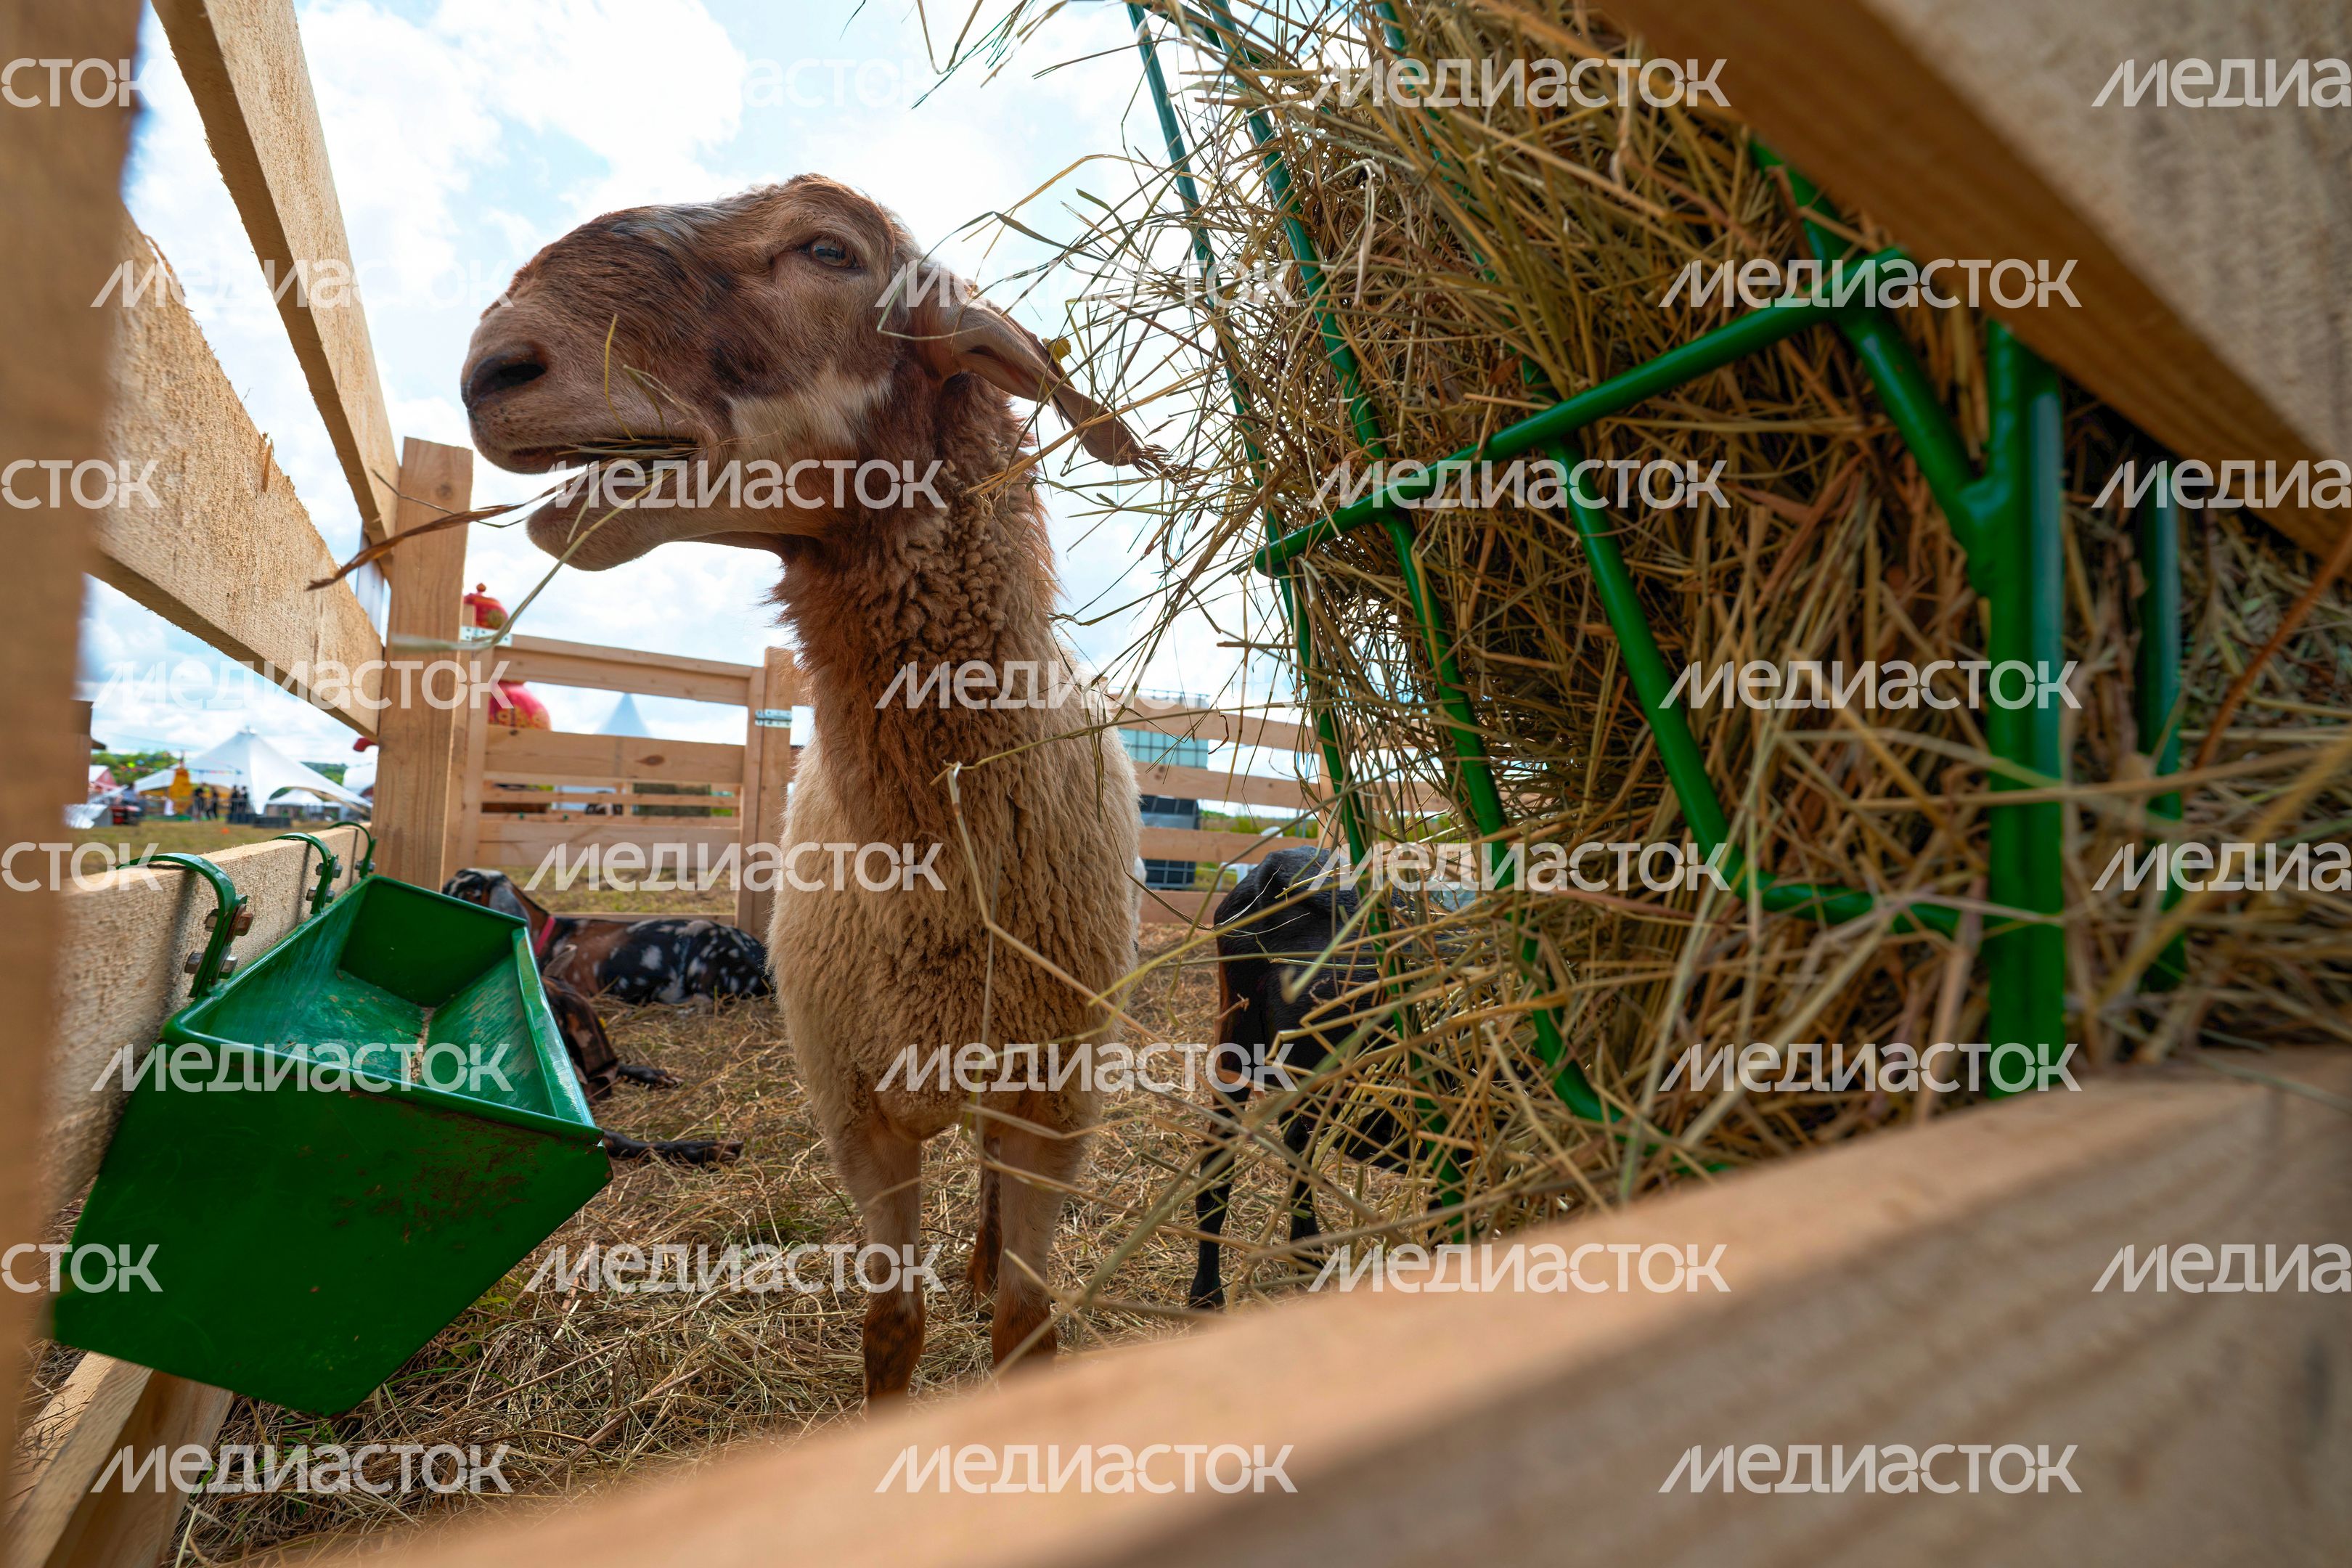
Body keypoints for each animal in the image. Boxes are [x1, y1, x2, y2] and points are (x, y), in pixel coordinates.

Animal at [459, 175, 1151, 1398]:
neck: (937, 880)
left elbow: (1029, 1328)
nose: (492, 368)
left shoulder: (1056, 1109)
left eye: (830, 250)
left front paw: (1004, 1313)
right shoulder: (858, 1117)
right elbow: (891, 1327)